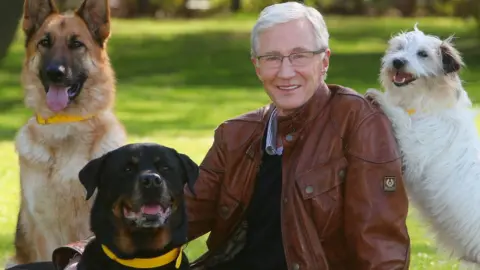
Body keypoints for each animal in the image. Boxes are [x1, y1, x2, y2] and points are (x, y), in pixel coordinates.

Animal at [366, 26, 480, 266]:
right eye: (399, 47)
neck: (423, 102)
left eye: (423, 54)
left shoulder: (414, 153)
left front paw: (381, 98)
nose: (398, 61)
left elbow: (401, 119)